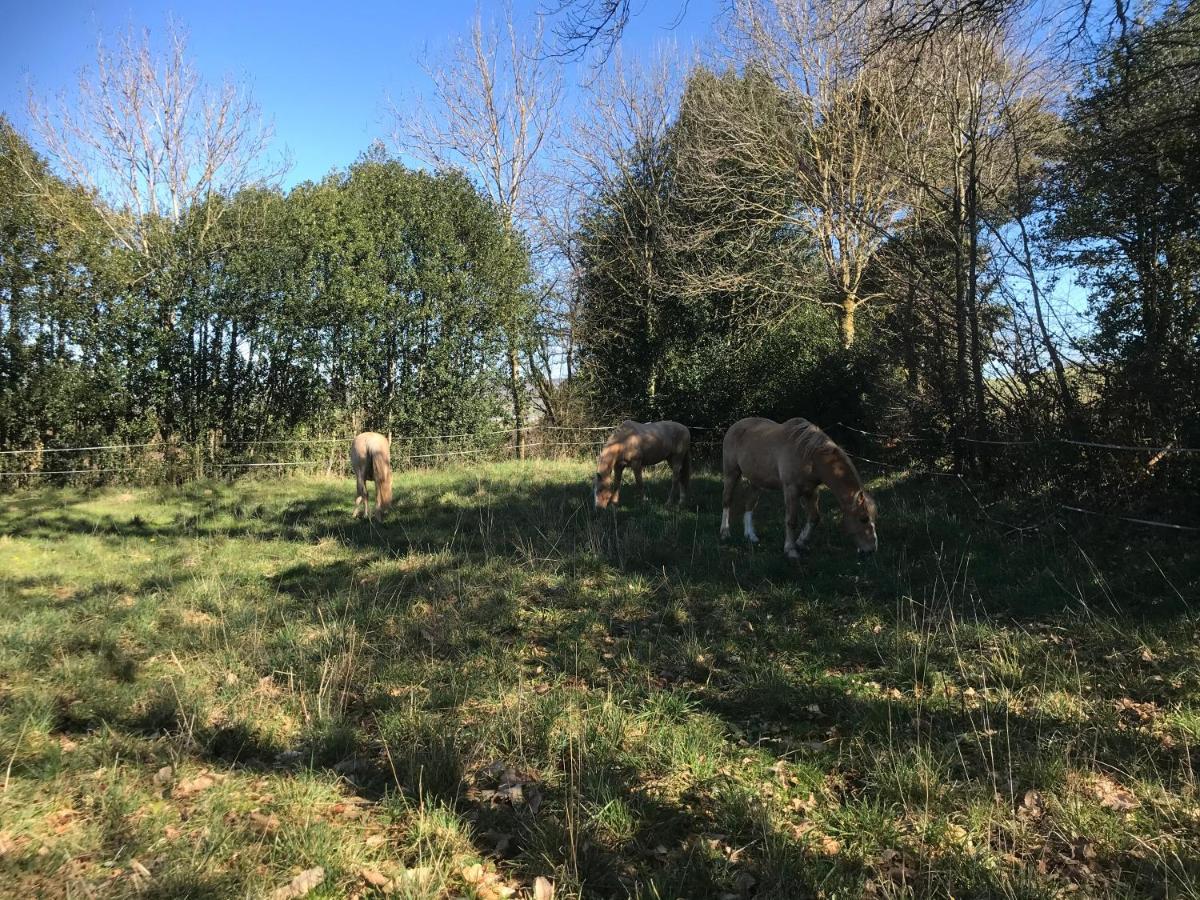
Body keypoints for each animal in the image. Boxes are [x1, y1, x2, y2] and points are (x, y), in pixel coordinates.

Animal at [715, 422, 878, 561]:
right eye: (863, 519)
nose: (871, 549)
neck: (810, 456)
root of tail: (735, 426)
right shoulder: (791, 490)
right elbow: (791, 520)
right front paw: (791, 550)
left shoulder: (810, 491)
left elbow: (814, 518)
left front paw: (801, 542)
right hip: (731, 473)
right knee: (727, 501)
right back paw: (725, 533)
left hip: (756, 481)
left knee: (750, 504)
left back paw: (750, 535)